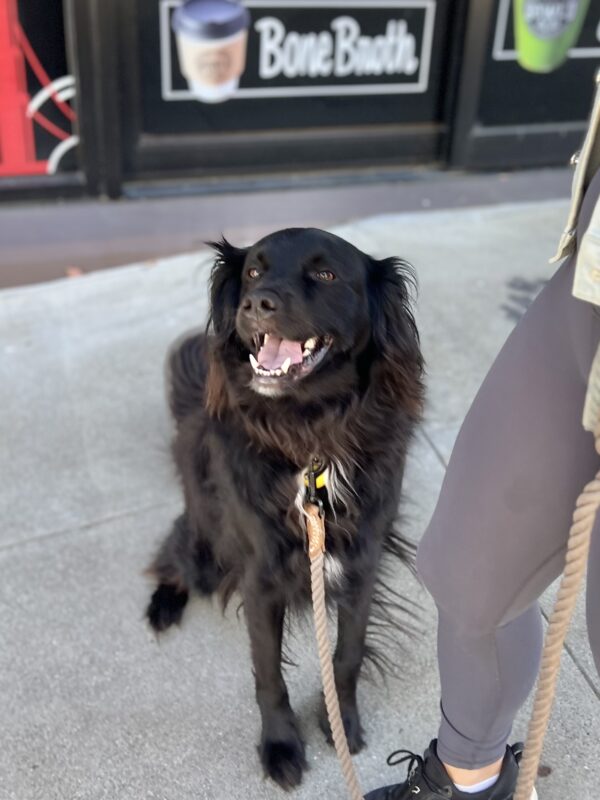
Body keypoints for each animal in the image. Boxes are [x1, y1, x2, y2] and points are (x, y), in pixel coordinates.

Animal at [145, 228, 424, 792]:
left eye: (325, 274)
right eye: (253, 271)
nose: (256, 304)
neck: (312, 437)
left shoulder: (361, 565)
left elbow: (347, 655)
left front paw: (341, 722)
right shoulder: (260, 578)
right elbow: (269, 675)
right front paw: (280, 746)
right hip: (203, 547)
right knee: (173, 556)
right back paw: (163, 605)